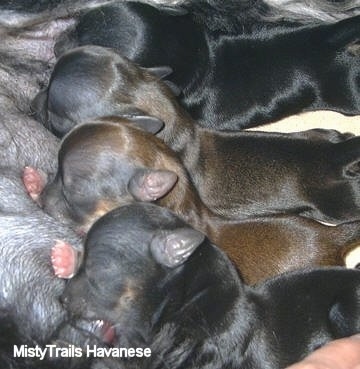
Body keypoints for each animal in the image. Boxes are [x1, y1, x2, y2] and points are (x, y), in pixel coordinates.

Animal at [45, 1, 360, 129]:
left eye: (81, 44)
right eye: (76, 25)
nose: (54, 45)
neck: (198, 52)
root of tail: (328, 40)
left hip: (349, 91)